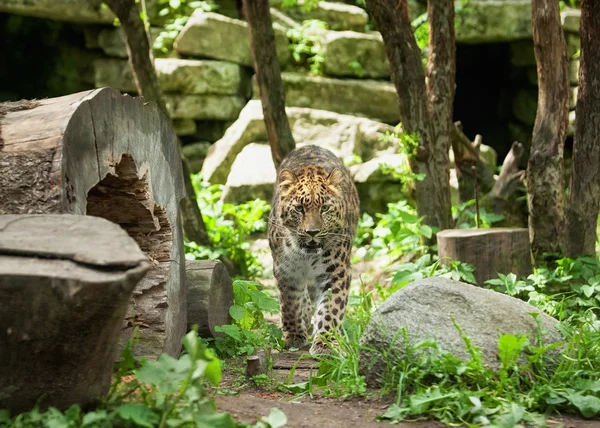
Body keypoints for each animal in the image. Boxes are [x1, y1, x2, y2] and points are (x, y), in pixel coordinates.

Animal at [270, 144, 358, 354]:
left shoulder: (337, 271)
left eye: (324, 208)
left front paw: (325, 343)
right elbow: (290, 304)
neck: (306, 257)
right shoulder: (286, 271)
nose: (312, 232)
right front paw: (294, 336)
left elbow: (330, 308)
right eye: (299, 209)